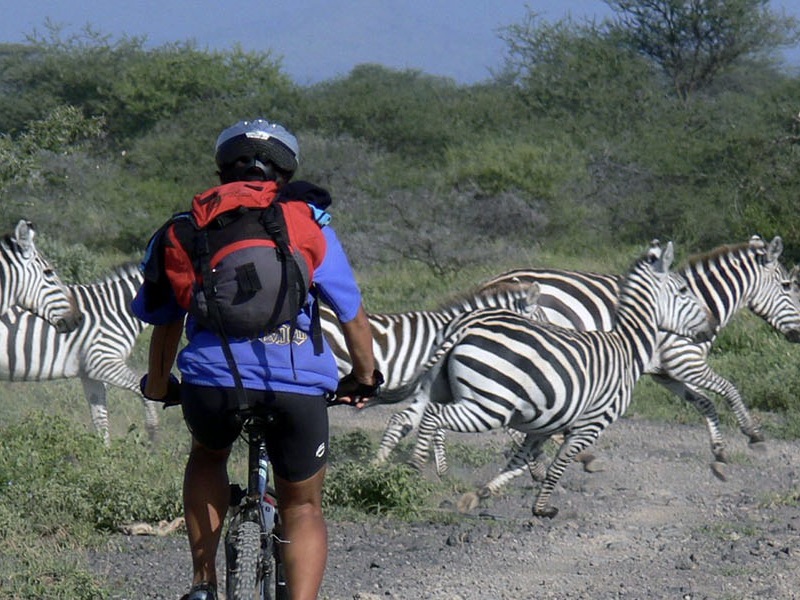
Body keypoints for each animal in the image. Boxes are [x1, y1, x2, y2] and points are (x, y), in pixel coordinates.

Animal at [0, 264, 159, 446]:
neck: (117, 311)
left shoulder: (90, 373)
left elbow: (100, 418)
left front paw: (105, 452)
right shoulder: (103, 361)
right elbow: (143, 391)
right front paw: (153, 436)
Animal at [376, 234, 800, 478]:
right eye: (788, 285)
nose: (798, 336)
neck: (697, 300)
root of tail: (491, 283)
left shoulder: (665, 372)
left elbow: (705, 403)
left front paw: (720, 451)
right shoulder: (683, 360)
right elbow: (727, 389)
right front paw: (754, 435)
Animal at [382, 241, 720, 516]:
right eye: (683, 291)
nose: (711, 325)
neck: (627, 346)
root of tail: (464, 327)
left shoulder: (542, 427)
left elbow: (518, 461)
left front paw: (480, 495)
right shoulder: (591, 423)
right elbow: (560, 463)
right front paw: (542, 508)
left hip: (442, 390)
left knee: (412, 416)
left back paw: (400, 468)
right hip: (489, 405)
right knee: (434, 417)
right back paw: (414, 468)